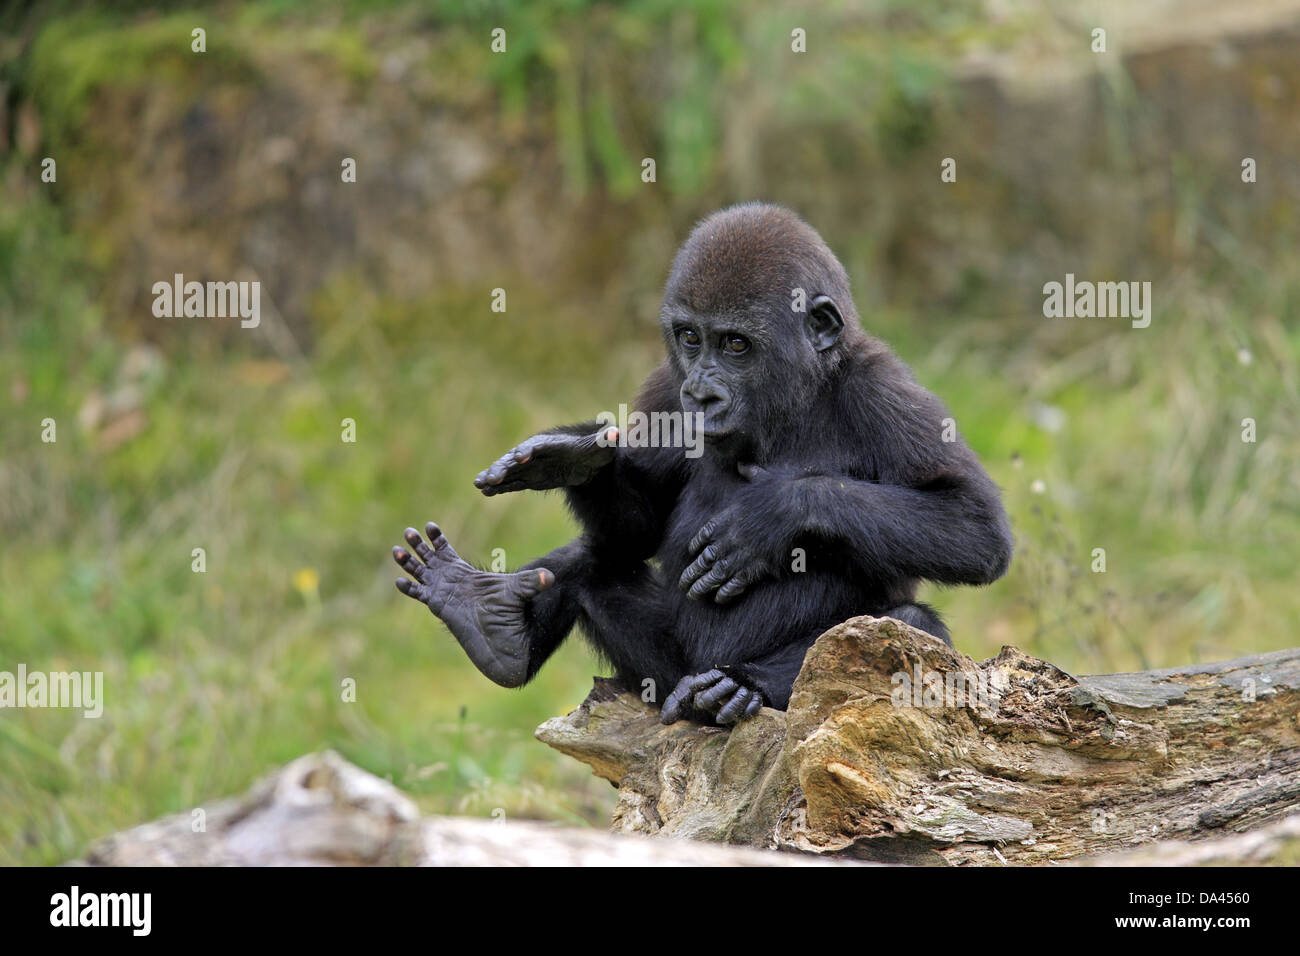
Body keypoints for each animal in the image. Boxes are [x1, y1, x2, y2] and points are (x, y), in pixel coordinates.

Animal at [392, 202, 1012, 725]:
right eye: (690, 338)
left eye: (736, 344)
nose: (702, 395)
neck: (796, 394)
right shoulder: (665, 390)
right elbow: (635, 531)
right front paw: (572, 461)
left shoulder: (883, 389)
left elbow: (973, 528)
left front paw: (772, 514)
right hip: (664, 679)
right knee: (595, 558)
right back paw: (489, 624)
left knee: (904, 626)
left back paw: (744, 685)